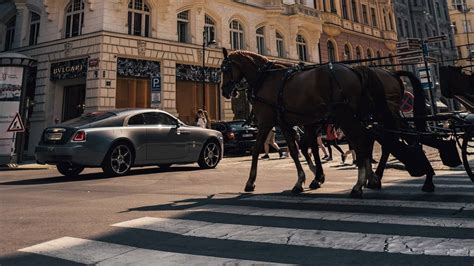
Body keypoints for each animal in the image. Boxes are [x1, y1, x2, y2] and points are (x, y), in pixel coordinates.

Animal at [221, 48, 382, 197]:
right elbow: (303, 149)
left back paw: (358, 184)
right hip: (354, 117)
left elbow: (263, 150)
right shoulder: (292, 124)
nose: (224, 91)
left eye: (225, 69)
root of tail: (353, 70)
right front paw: (314, 177)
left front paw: (251, 182)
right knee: (365, 138)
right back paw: (370, 178)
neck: (265, 78)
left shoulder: (267, 122)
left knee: (359, 140)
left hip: (345, 117)